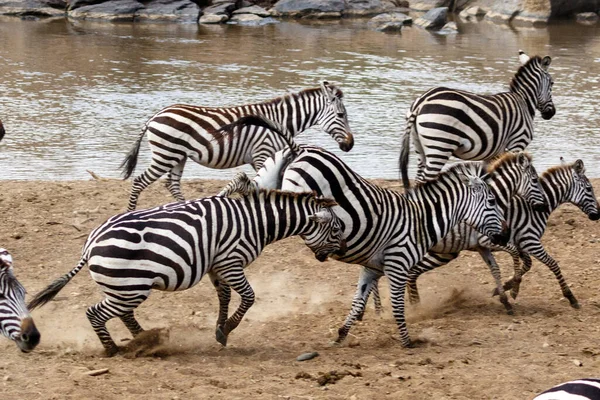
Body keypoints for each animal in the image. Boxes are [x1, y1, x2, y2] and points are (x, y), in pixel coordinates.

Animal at [27, 189, 346, 354]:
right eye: (335, 229)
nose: (343, 252)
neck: (256, 222)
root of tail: (91, 242)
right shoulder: (231, 261)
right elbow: (248, 298)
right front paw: (228, 329)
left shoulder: (217, 265)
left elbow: (225, 298)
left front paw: (220, 330)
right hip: (130, 286)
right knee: (96, 313)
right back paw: (115, 350)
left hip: (126, 286)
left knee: (122, 314)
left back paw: (146, 339)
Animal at [120, 82, 354, 211]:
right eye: (341, 115)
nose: (350, 145)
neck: (277, 121)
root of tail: (155, 116)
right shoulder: (262, 153)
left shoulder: (265, 157)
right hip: (166, 155)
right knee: (140, 181)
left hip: (178, 156)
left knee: (172, 184)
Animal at [400, 49, 556, 189]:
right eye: (552, 83)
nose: (551, 113)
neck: (524, 101)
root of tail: (422, 102)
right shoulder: (517, 144)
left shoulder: (493, 154)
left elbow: (490, 177)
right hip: (440, 145)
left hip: (420, 146)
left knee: (419, 179)